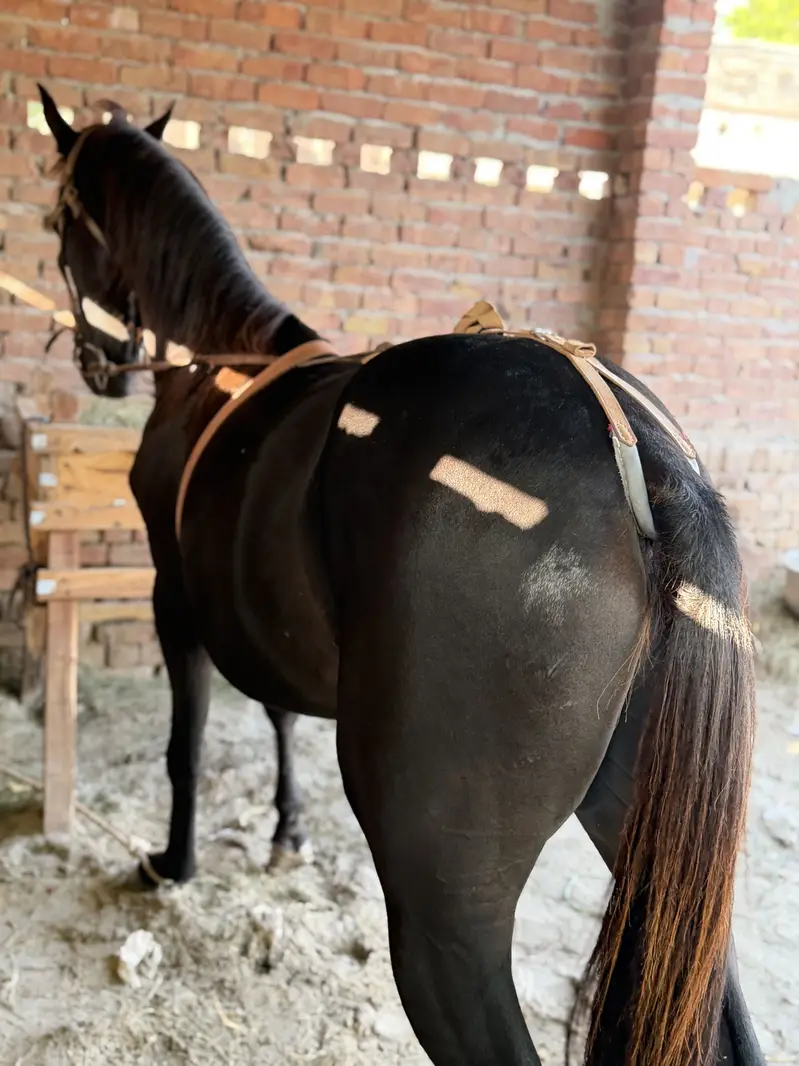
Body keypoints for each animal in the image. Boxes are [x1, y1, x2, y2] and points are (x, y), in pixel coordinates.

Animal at [37, 84, 765, 1066]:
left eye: (59, 221)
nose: (98, 368)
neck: (221, 363)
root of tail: (642, 457)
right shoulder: (270, 616)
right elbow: (276, 710)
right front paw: (287, 830)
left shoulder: (174, 595)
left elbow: (186, 744)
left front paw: (174, 863)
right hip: (656, 864)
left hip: (443, 910)